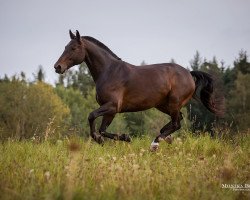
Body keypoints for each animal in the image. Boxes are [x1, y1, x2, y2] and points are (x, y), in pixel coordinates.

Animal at [53, 30, 225, 150]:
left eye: (74, 48)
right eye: (65, 47)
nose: (57, 67)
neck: (109, 72)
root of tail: (189, 74)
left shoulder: (112, 106)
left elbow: (91, 116)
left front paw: (108, 138)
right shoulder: (110, 110)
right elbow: (102, 129)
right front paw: (121, 137)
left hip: (174, 103)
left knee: (177, 124)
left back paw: (155, 143)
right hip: (163, 105)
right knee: (178, 120)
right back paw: (163, 136)